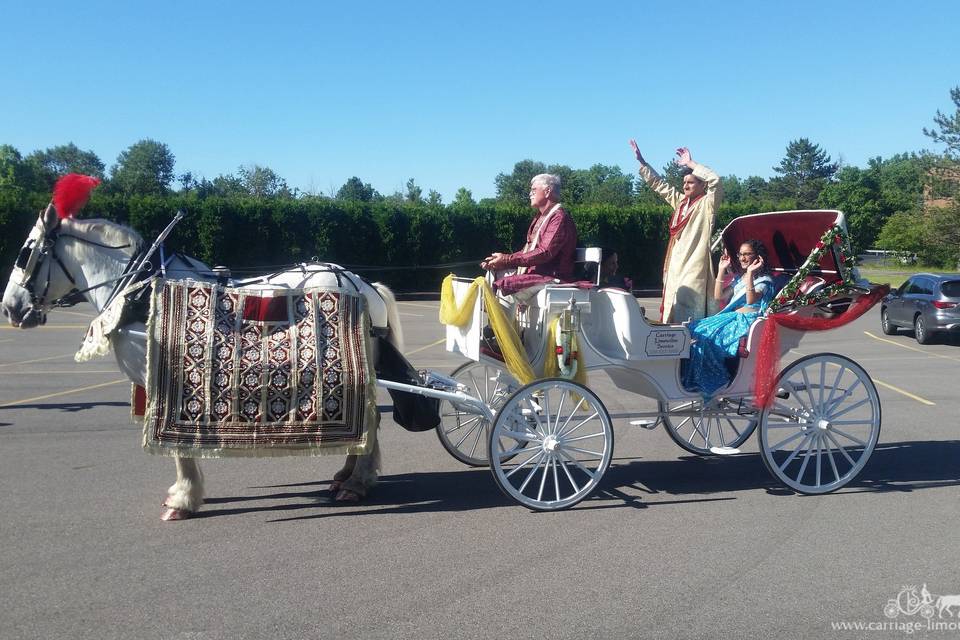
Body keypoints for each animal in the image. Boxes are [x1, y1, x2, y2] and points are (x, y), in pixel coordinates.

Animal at [2, 205, 402, 520]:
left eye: (25, 252)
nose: (10, 308)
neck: (138, 290)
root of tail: (363, 284)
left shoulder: (165, 378)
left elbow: (178, 446)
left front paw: (183, 498)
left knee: (371, 420)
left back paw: (356, 482)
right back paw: (348, 473)